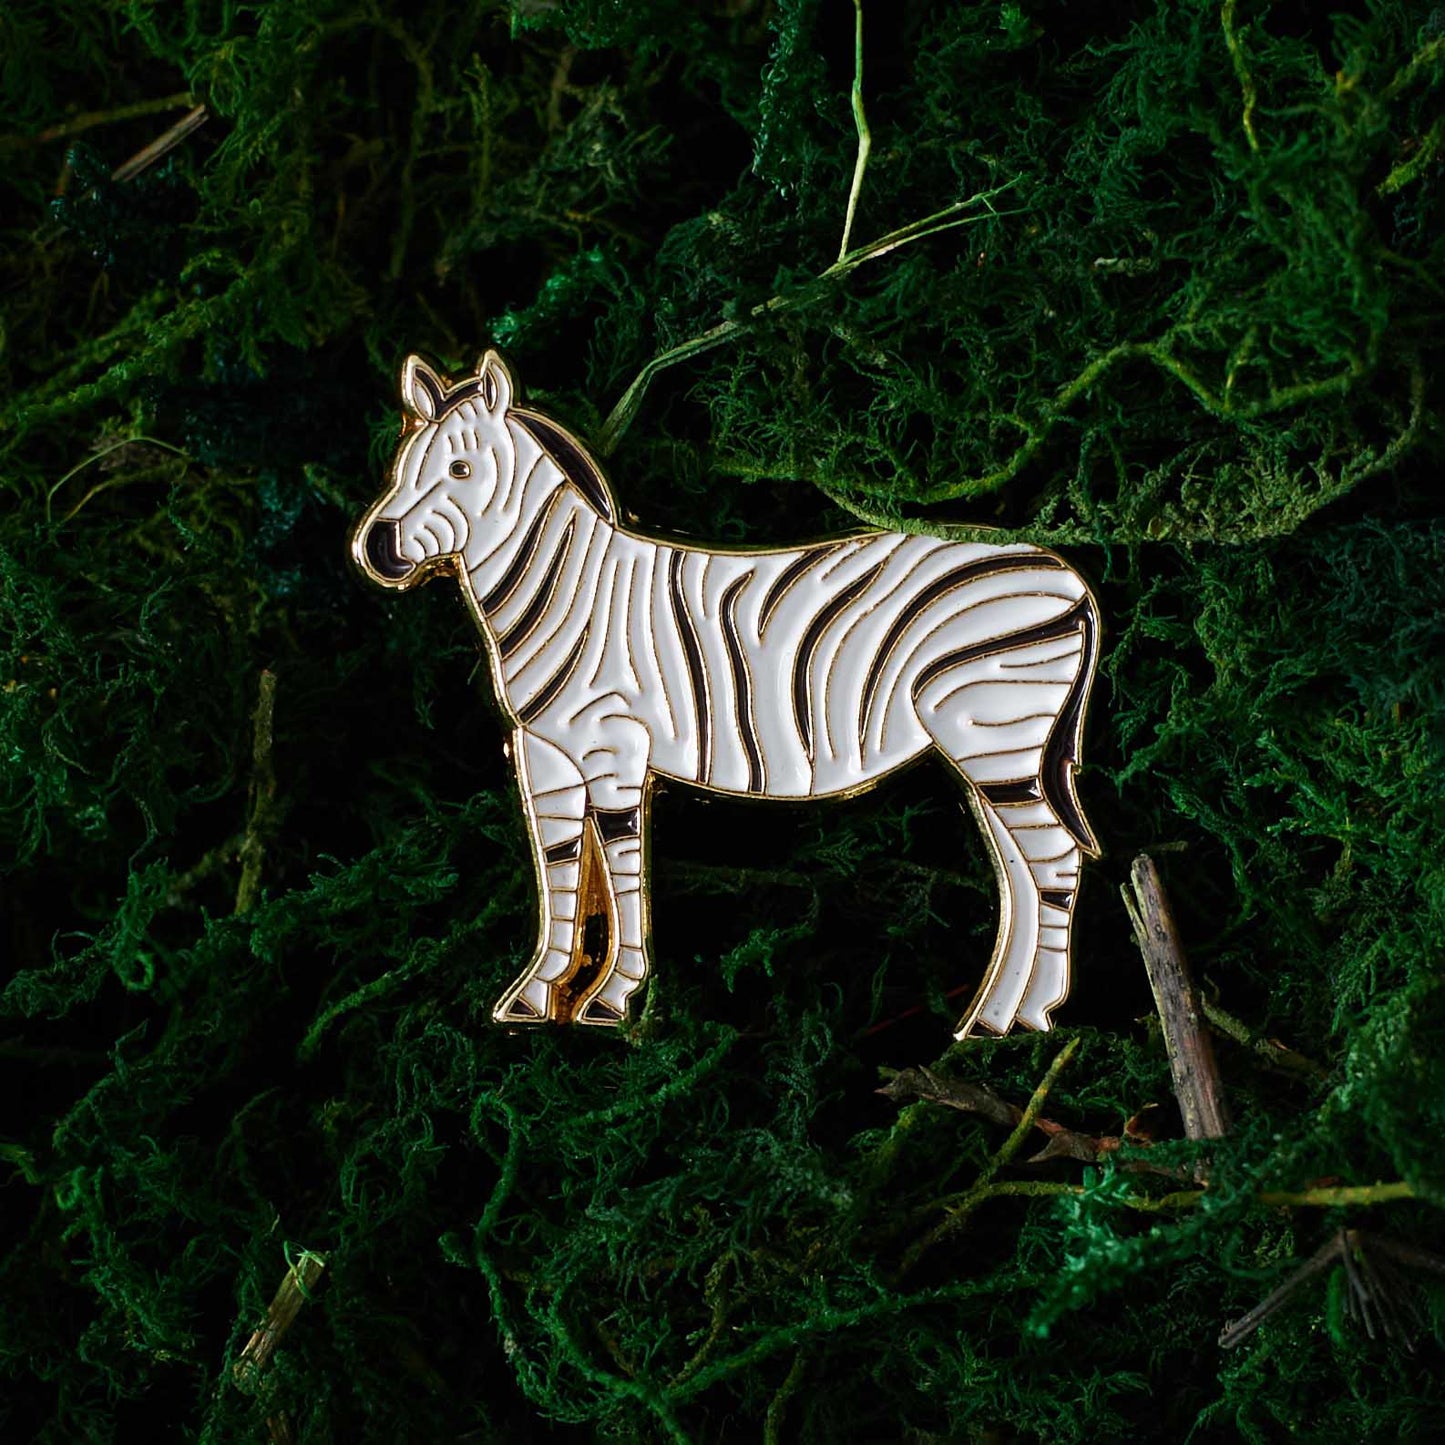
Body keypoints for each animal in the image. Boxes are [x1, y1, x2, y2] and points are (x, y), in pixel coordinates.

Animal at [352, 352, 1101, 1038]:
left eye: (459, 471)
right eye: (400, 469)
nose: (375, 550)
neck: (570, 590)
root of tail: (1065, 573)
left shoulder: (614, 747)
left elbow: (622, 863)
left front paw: (613, 996)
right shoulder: (542, 753)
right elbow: (559, 867)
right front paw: (536, 996)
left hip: (993, 728)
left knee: (1053, 860)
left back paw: (1023, 1018)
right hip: (993, 745)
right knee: (1020, 868)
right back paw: (1000, 1014)